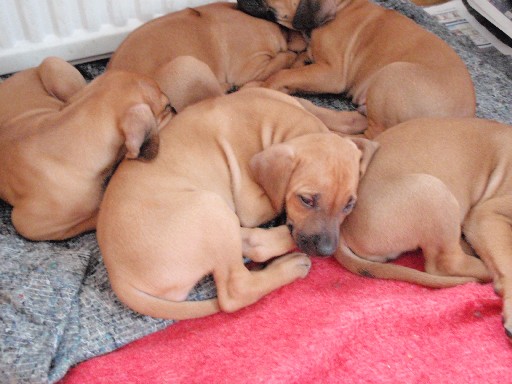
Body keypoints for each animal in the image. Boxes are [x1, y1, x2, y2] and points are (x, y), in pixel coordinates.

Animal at [238, 0, 478, 138]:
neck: (342, 7)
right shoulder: (312, 60)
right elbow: (294, 67)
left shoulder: (332, 73)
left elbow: (284, 74)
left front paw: (265, 88)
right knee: (352, 122)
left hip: (392, 76)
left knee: (370, 137)